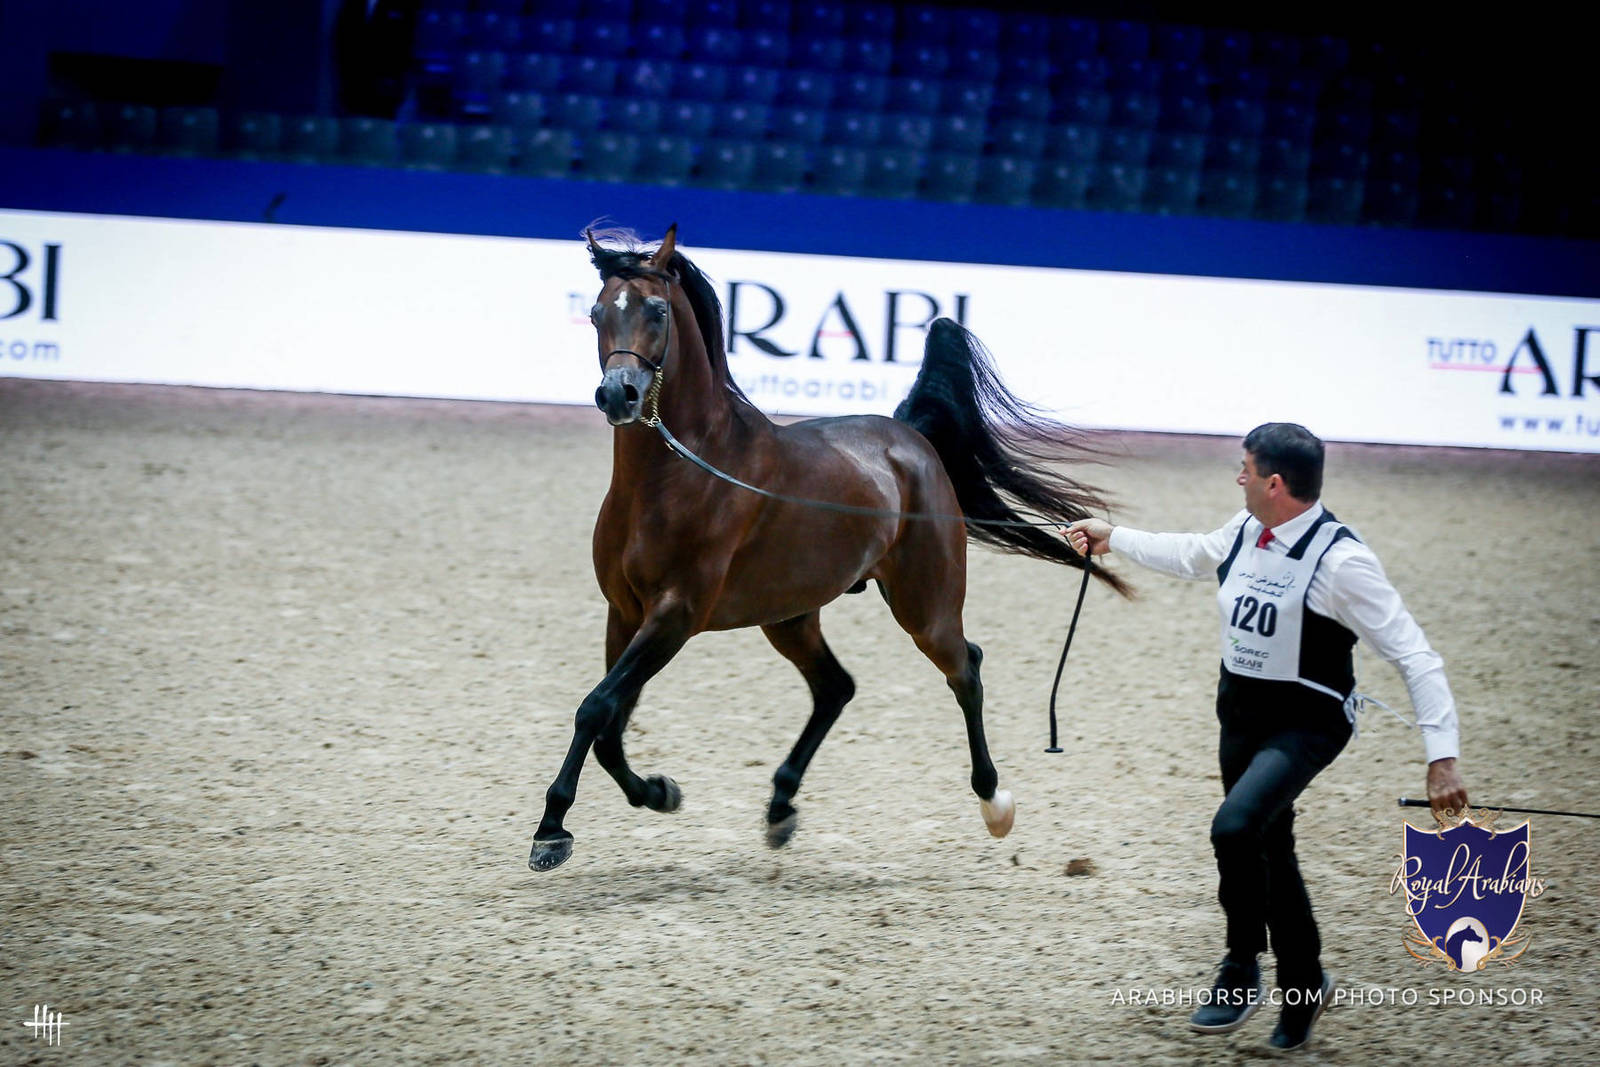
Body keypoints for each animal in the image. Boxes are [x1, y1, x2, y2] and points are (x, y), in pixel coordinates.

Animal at [530, 225, 1128, 872]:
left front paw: (551, 831)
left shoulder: (674, 616)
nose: (619, 395)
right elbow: (609, 725)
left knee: (964, 668)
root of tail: (909, 437)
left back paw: (995, 802)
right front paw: (658, 793)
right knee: (836, 687)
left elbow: (596, 709)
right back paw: (780, 808)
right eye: (596, 313)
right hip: (790, 616)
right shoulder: (626, 612)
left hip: (924, 608)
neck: (681, 476)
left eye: (657, 311)